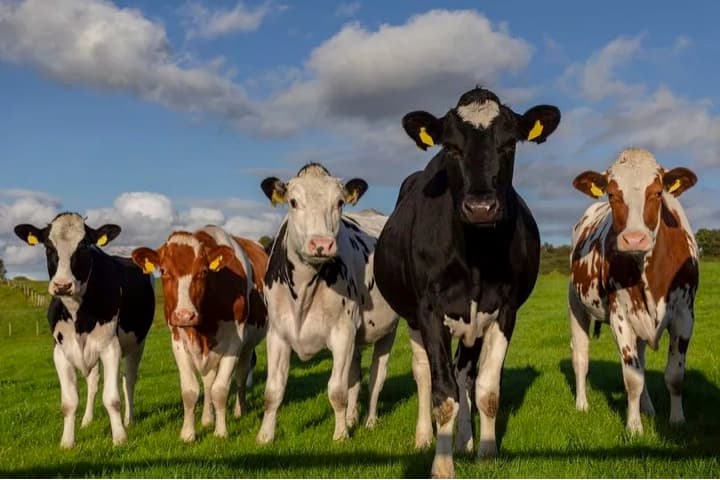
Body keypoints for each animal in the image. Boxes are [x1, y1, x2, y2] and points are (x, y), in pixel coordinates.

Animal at [14, 212, 155, 448]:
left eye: (84, 245)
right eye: (48, 246)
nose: (62, 285)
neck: (78, 314)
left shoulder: (111, 347)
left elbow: (112, 398)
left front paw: (119, 438)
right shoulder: (60, 351)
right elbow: (69, 402)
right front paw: (67, 442)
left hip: (138, 343)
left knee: (129, 380)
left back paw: (129, 420)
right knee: (93, 383)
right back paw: (87, 421)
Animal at [131, 226, 267, 441]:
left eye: (203, 272)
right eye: (164, 271)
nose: (185, 315)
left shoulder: (234, 344)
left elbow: (220, 390)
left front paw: (221, 432)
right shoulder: (178, 341)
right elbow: (191, 390)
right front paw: (188, 434)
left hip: (248, 345)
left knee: (241, 377)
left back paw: (239, 411)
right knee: (209, 381)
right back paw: (207, 419)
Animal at [257, 163, 401, 443]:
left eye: (340, 202)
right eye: (293, 202)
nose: (321, 243)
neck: (303, 291)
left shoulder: (342, 332)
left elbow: (337, 390)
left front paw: (341, 434)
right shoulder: (277, 333)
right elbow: (273, 391)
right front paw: (265, 436)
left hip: (388, 330)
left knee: (376, 377)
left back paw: (369, 421)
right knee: (355, 376)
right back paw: (353, 417)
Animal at [374, 87, 561, 477]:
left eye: (510, 143)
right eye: (450, 147)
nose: (480, 207)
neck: (476, 256)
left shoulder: (504, 309)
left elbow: (487, 389)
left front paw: (486, 451)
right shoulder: (429, 310)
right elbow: (442, 393)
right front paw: (442, 466)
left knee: (465, 375)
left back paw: (465, 441)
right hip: (412, 317)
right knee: (425, 373)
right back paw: (424, 437)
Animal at [569, 148, 698, 434]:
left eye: (658, 192)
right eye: (611, 194)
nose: (634, 239)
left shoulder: (684, 314)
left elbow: (674, 375)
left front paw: (677, 420)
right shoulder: (621, 316)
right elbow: (632, 378)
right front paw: (634, 426)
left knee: (641, 359)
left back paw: (648, 407)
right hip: (575, 305)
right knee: (581, 355)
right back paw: (582, 404)